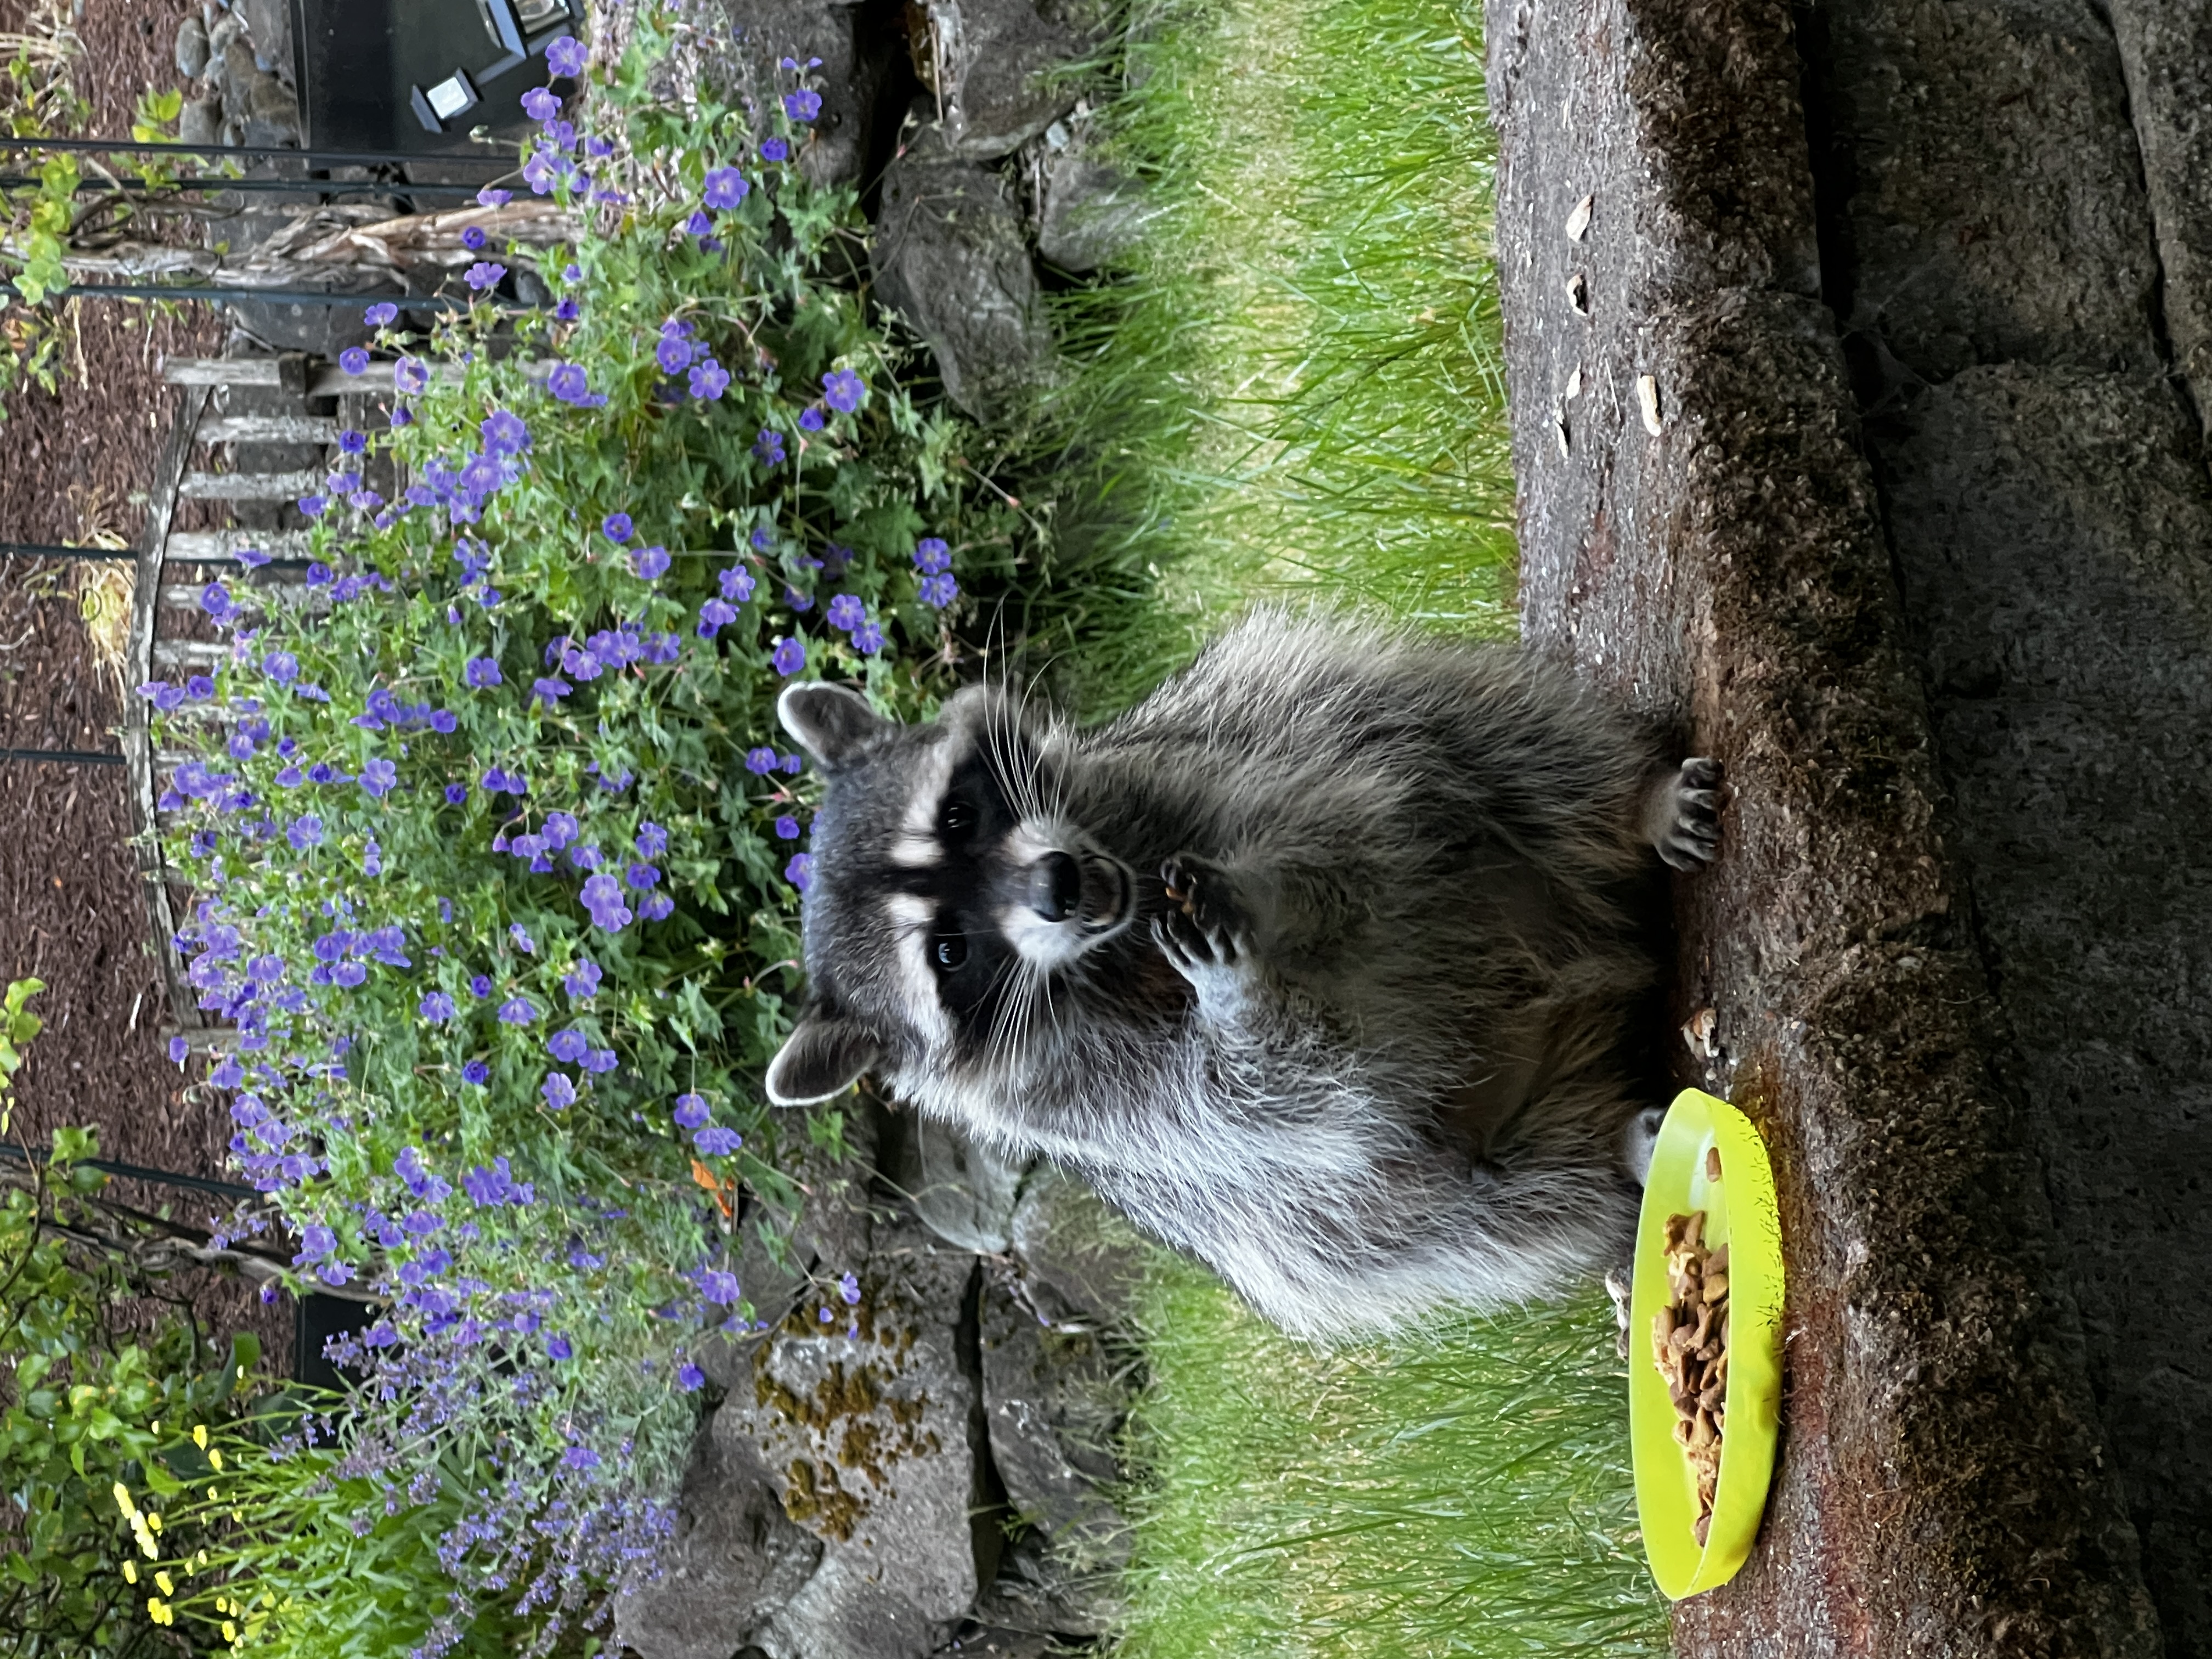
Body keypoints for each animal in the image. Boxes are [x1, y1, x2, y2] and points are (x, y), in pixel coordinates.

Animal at [765, 609, 1721, 1340]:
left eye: (959, 817)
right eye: (950, 952)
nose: (1056, 887)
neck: (1108, 944)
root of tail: (1606, 956)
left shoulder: (1168, 772)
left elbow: (1321, 805)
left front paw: (1264, 900)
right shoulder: (1095, 1102)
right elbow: (1265, 1102)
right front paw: (1245, 1000)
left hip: (1395, 747)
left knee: (1474, 738)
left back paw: (1630, 807)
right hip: (1370, 1211)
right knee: (1453, 1218)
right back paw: (1608, 1155)